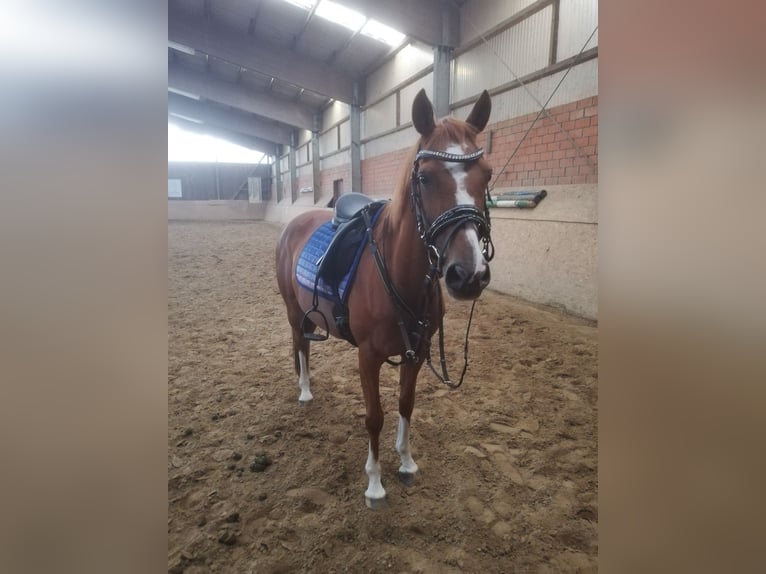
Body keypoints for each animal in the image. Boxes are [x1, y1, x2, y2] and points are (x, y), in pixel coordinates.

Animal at [280, 88, 496, 510]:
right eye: (425, 177)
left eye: (488, 174)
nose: (468, 275)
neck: (399, 274)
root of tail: (296, 222)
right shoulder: (367, 357)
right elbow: (374, 416)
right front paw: (375, 485)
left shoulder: (417, 353)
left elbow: (405, 405)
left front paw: (407, 463)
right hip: (295, 312)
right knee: (300, 344)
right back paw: (305, 390)